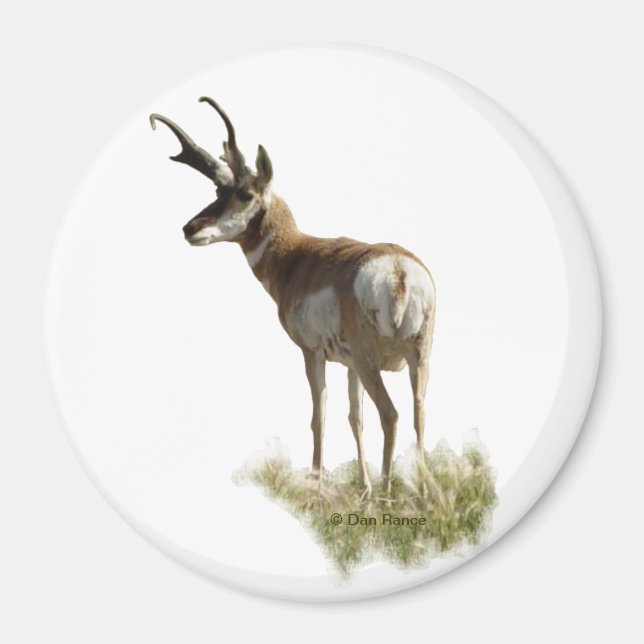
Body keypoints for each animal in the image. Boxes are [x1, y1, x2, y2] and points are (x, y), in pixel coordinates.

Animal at [150, 97, 436, 496]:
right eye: (218, 192)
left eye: (243, 193)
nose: (189, 228)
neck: (298, 255)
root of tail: (397, 270)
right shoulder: (349, 366)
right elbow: (354, 418)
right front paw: (361, 489)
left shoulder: (312, 353)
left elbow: (319, 416)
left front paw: (316, 486)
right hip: (417, 358)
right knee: (418, 414)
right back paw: (421, 495)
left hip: (372, 361)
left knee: (391, 415)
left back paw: (388, 494)